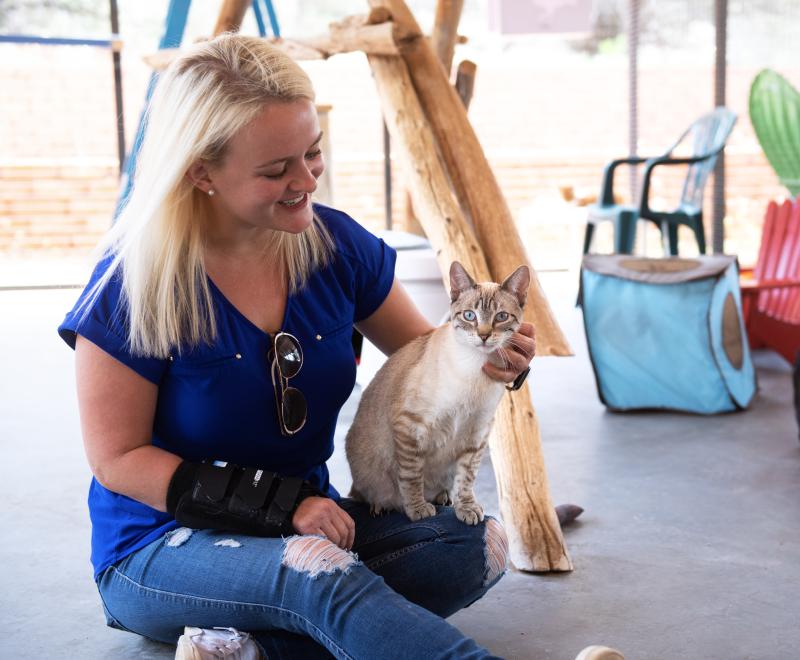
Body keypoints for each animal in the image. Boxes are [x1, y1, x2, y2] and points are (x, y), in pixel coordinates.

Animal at [346, 260, 528, 524]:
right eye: (470, 316)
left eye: (501, 317)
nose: (484, 336)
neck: (474, 369)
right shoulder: (410, 425)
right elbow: (412, 477)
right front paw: (417, 510)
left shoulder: (477, 434)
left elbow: (466, 479)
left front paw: (466, 508)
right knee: (362, 492)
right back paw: (382, 505)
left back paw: (442, 497)